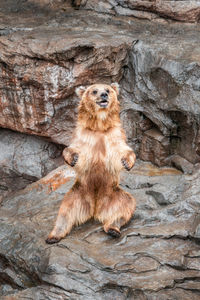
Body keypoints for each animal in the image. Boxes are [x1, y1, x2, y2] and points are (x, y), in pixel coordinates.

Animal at [45, 82, 136, 244]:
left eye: (108, 90)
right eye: (94, 91)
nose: (104, 95)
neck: (99, 126)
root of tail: (95, 209)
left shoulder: (113, 135)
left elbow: (122, 150)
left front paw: (127, 163)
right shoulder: (84, 135)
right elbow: (74, 149)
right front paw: (73, 158)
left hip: (114, 194)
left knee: (126, 206)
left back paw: (113, 229)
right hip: (77, 193)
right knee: (65, 212)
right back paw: (53, 236)